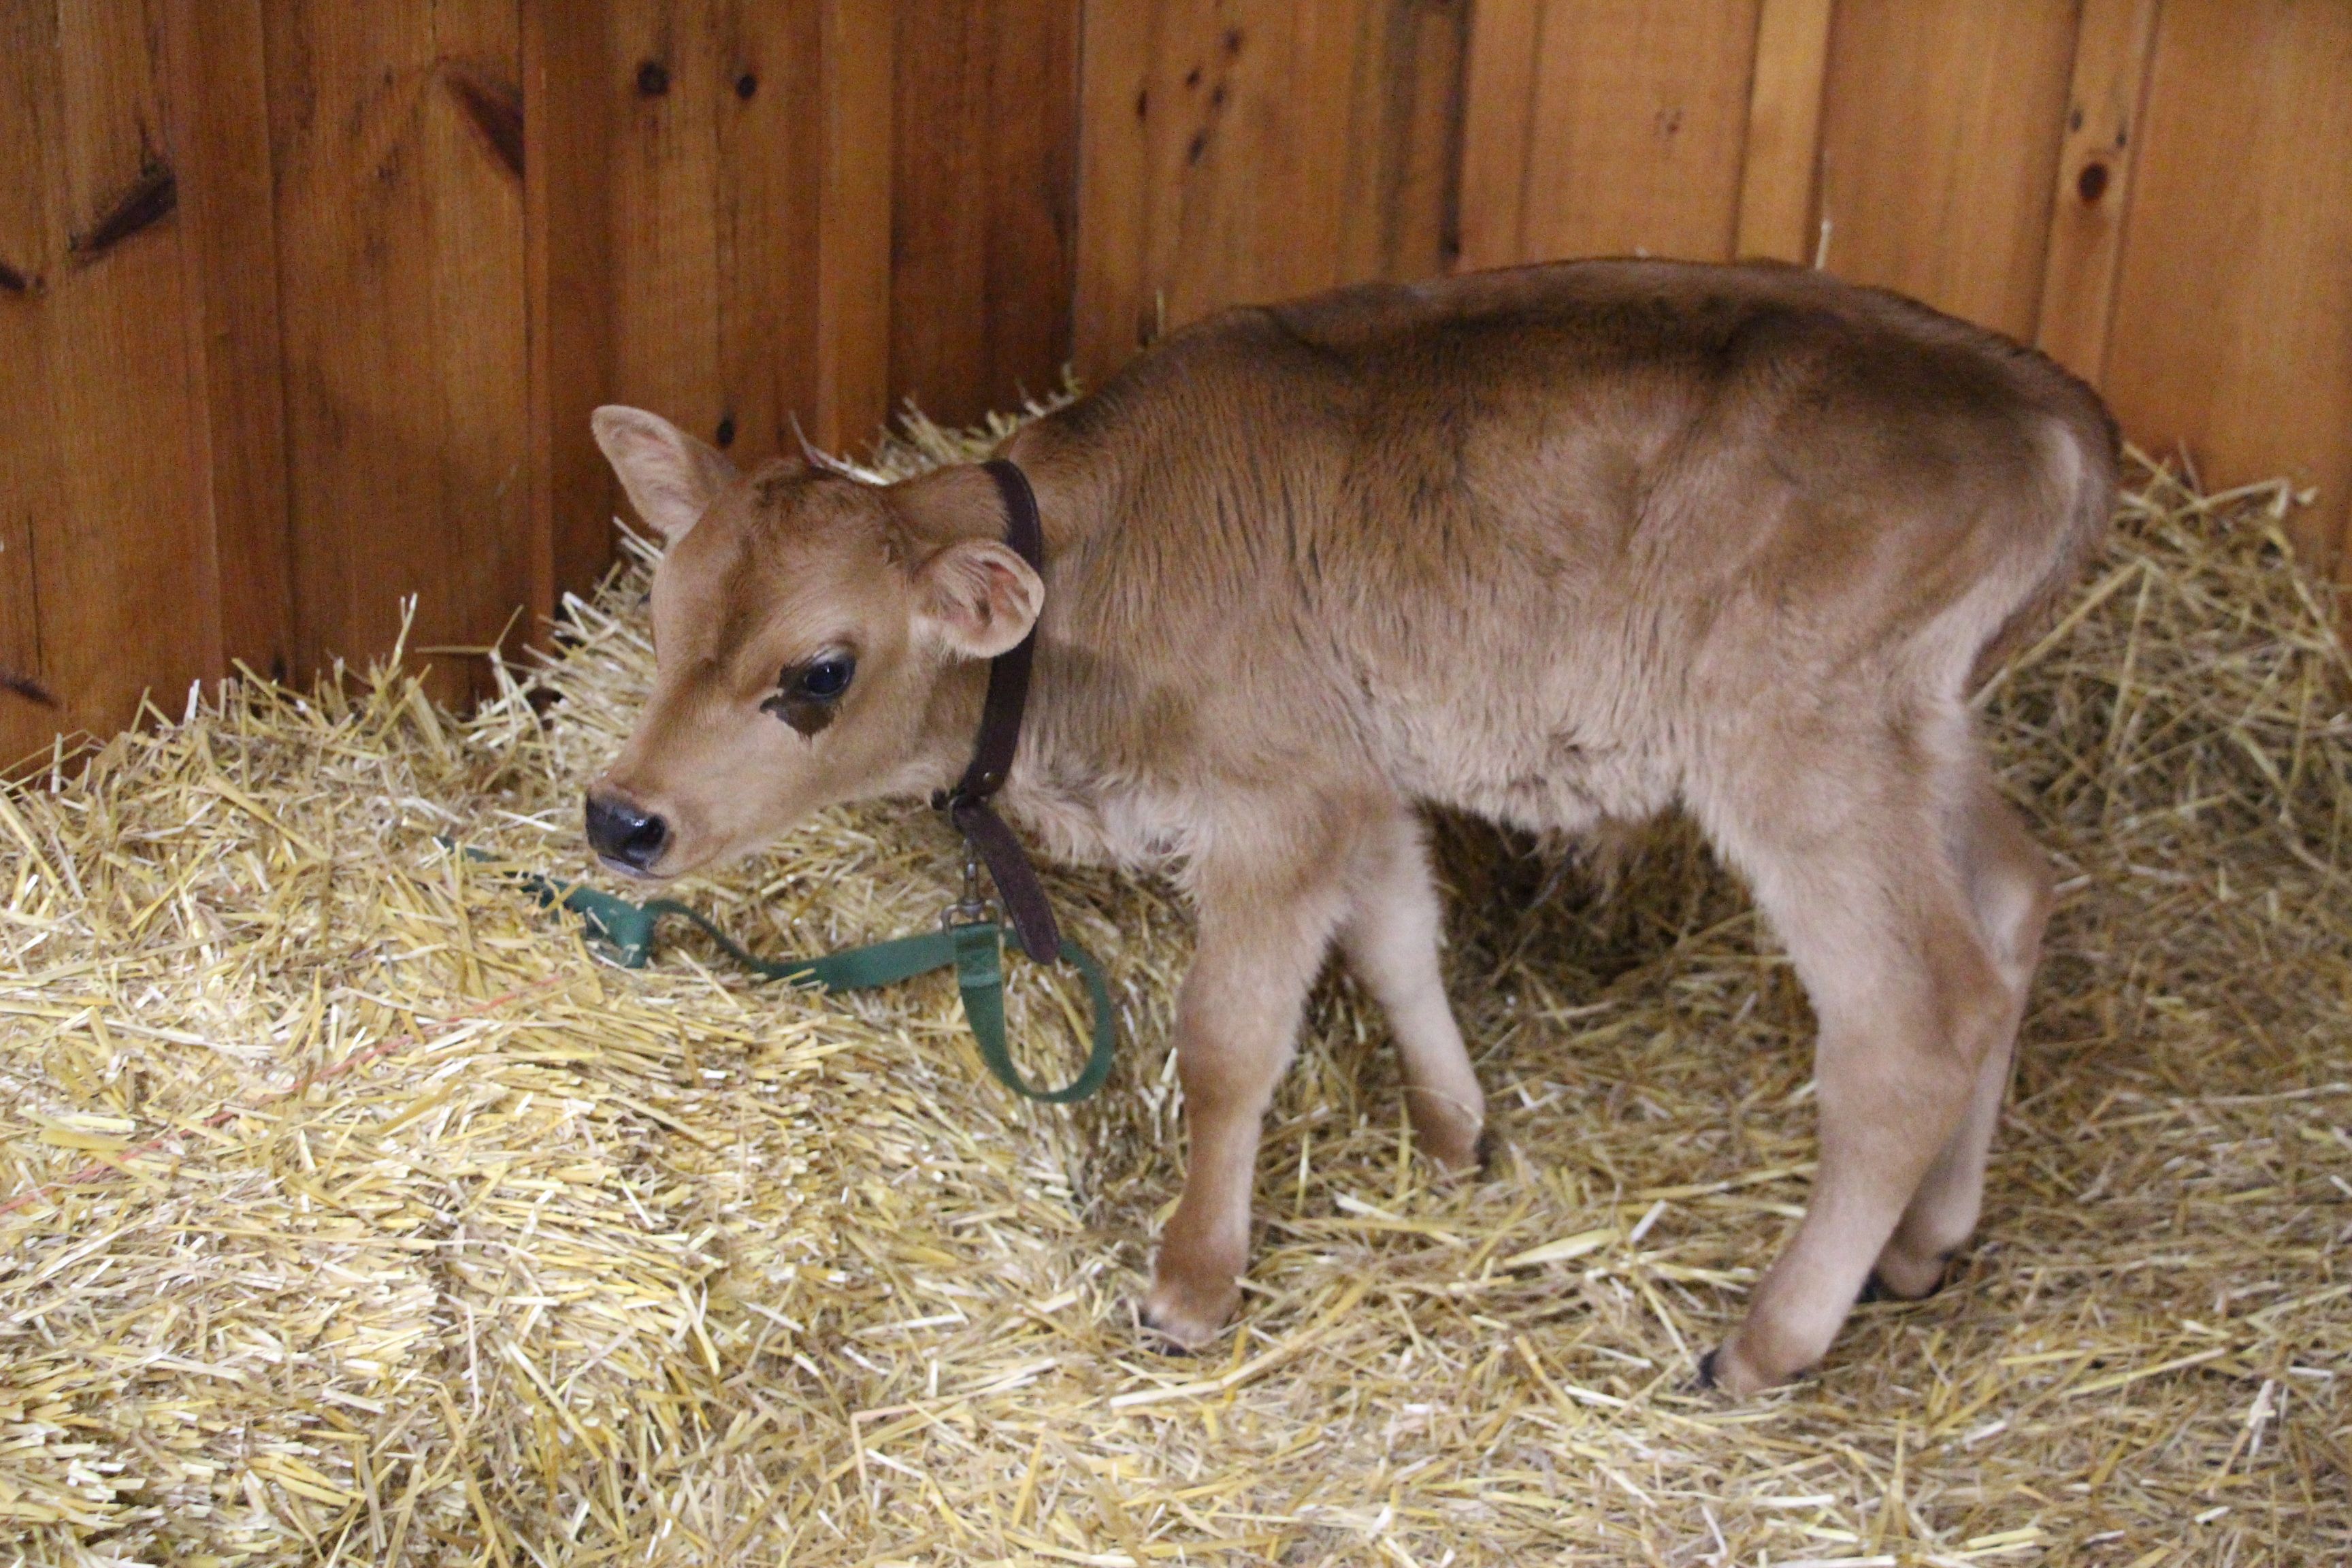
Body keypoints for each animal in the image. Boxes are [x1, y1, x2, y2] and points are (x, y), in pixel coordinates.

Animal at [580, 259, 2116, 1394]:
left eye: (819, 672)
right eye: (663, 612)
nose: (622, 815)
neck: (1094, 583)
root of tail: (2032, 395)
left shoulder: (1275, 804)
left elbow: (1228, 1043)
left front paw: (1194, 1280)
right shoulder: (1353, 778)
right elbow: (1397, 937)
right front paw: (1455, 1131)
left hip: (1801, 742)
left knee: (1915, 1017)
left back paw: (1768, 1338)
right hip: (1919, 732)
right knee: (2013, 905)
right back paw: (1928, 1239)